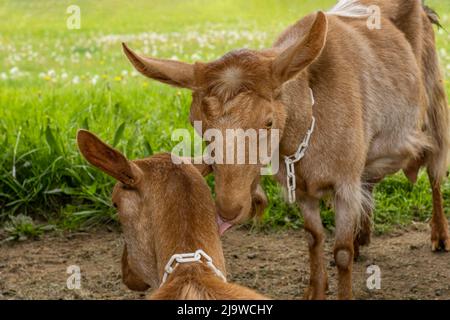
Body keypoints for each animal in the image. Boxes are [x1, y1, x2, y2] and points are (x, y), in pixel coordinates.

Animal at [121, 0, 448, 300]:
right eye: (196, 124)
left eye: (268, 122)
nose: (228, 208)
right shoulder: (301, 186)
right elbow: (313, 237)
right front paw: (315, 290)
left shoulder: (344, 184)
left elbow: (341, 252)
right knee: (369, 182)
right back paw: (363, 236)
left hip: (434, 105)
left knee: (435, 172)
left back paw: (439, 235)